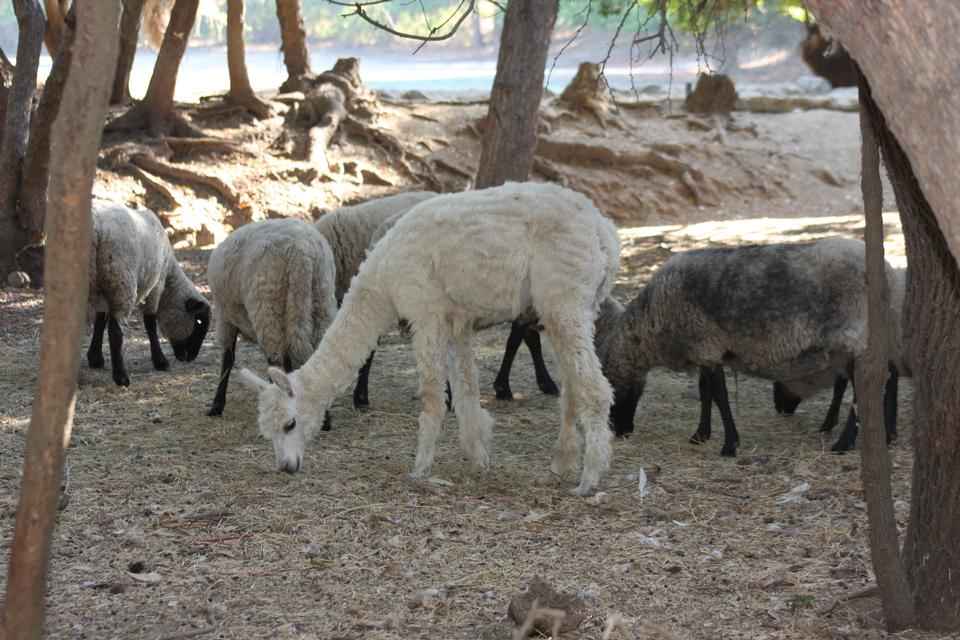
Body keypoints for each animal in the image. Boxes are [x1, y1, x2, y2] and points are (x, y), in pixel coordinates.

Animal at [86, 200, 212, 388]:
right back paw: (121, 378)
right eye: (199, 321)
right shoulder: (155, 286)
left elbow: (100, 321)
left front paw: (95, 358)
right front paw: (160, 361)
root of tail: (95, 228)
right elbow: (150, 323)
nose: (190, 357)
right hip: (121, 281)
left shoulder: (102, 290)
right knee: (115, 334)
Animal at [205, 218, 338, 422]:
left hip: (268, 306)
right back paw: (323, 418)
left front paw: (216, 406)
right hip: (320, 300)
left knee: (274, 359)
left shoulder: (224, 316)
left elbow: (227, 358)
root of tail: (301, 254)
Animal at [596, 239, 904, 456]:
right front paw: (700, 435)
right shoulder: (707, 350)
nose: (622, 432)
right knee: (884, 377)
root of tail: (888, 272)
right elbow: (705, 393)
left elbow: (719, 395)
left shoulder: (706, 344)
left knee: (868, 384)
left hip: (853, 335)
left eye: (615, 398)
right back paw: (886, 433)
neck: (651, 321)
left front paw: (729, 445)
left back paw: (845, 442)